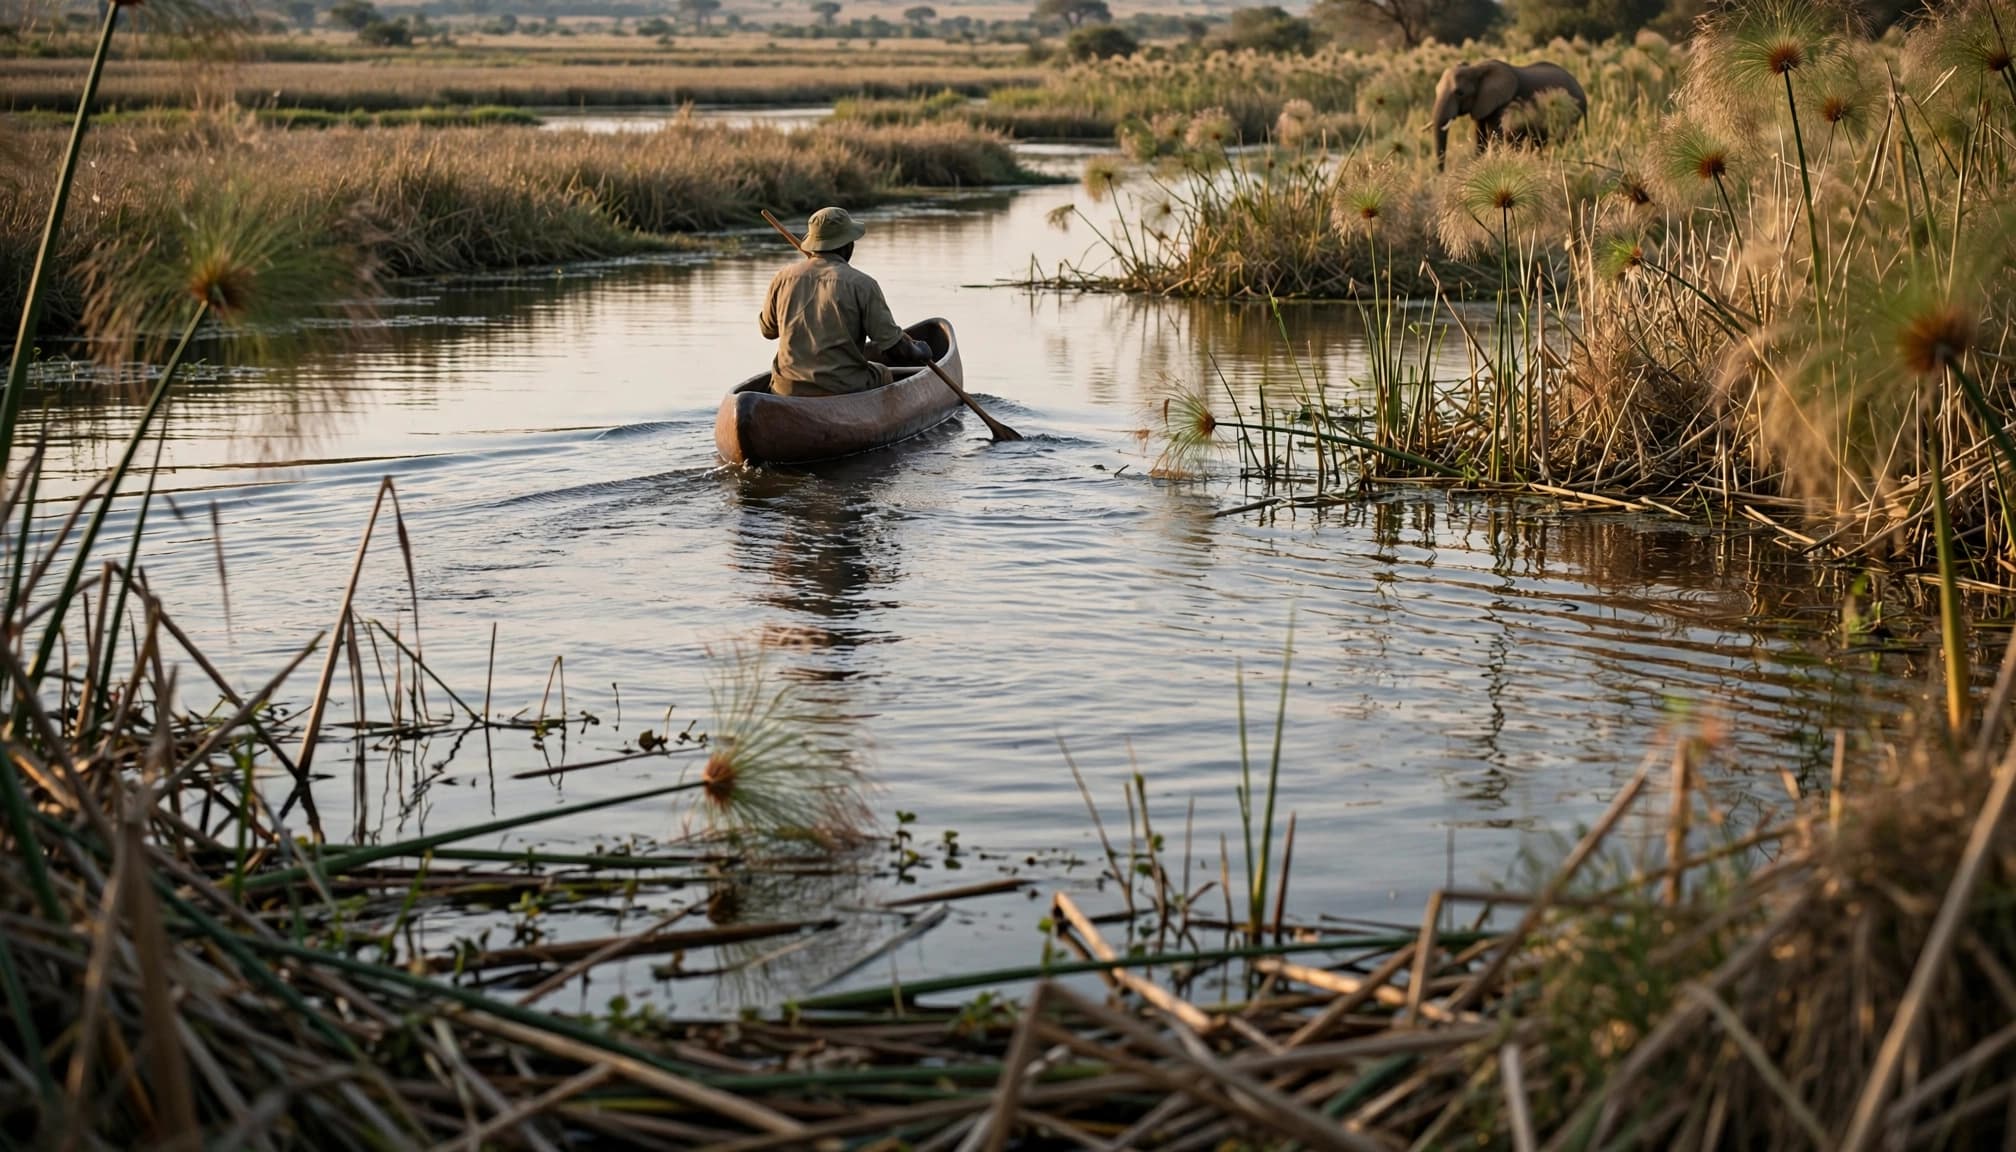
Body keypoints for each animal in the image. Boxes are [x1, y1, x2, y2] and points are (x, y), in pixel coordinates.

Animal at [1432, 59, 1587, 169]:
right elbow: (1480, 138)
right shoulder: (1481, 105)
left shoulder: (1502, 104)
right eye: (1436, 90)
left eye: (1460, 93)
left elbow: (1496, 138)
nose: (1440, 174)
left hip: (1570, 112)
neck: (1477, 68)